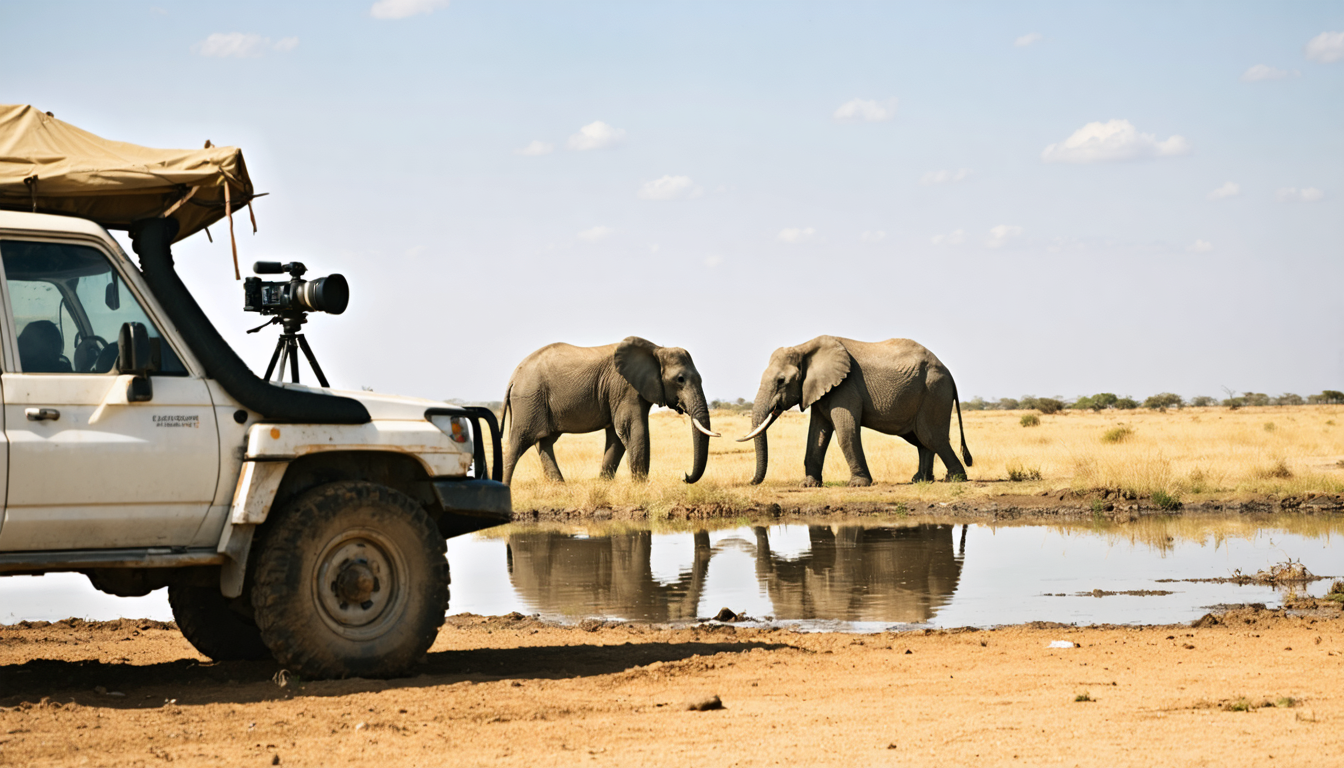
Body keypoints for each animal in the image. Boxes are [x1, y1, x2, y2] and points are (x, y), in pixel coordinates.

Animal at [501, 336, 718, 485]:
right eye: (680, 379)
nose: (684, 476)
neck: (657, 350)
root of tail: (513, 377)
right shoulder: (624, 387)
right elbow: (631, 428)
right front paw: (641, 486)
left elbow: (617, 436)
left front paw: (604, 484)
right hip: (528, 399)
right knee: (519, 441)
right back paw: (505, 486)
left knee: (544, 441)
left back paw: (559, 486)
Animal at [737, 336, 972, 486]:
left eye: (781, 381)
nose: (750, 482)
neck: (804, 348)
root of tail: (949, 372)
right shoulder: (820, 390)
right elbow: (817, 435)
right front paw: (808, 485)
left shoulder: (845, 387)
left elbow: (845, 432)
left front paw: (858, 485)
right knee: (921, 439)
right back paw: (920, 480)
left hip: (934, 391)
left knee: (931, 436)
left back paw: (955, 479)